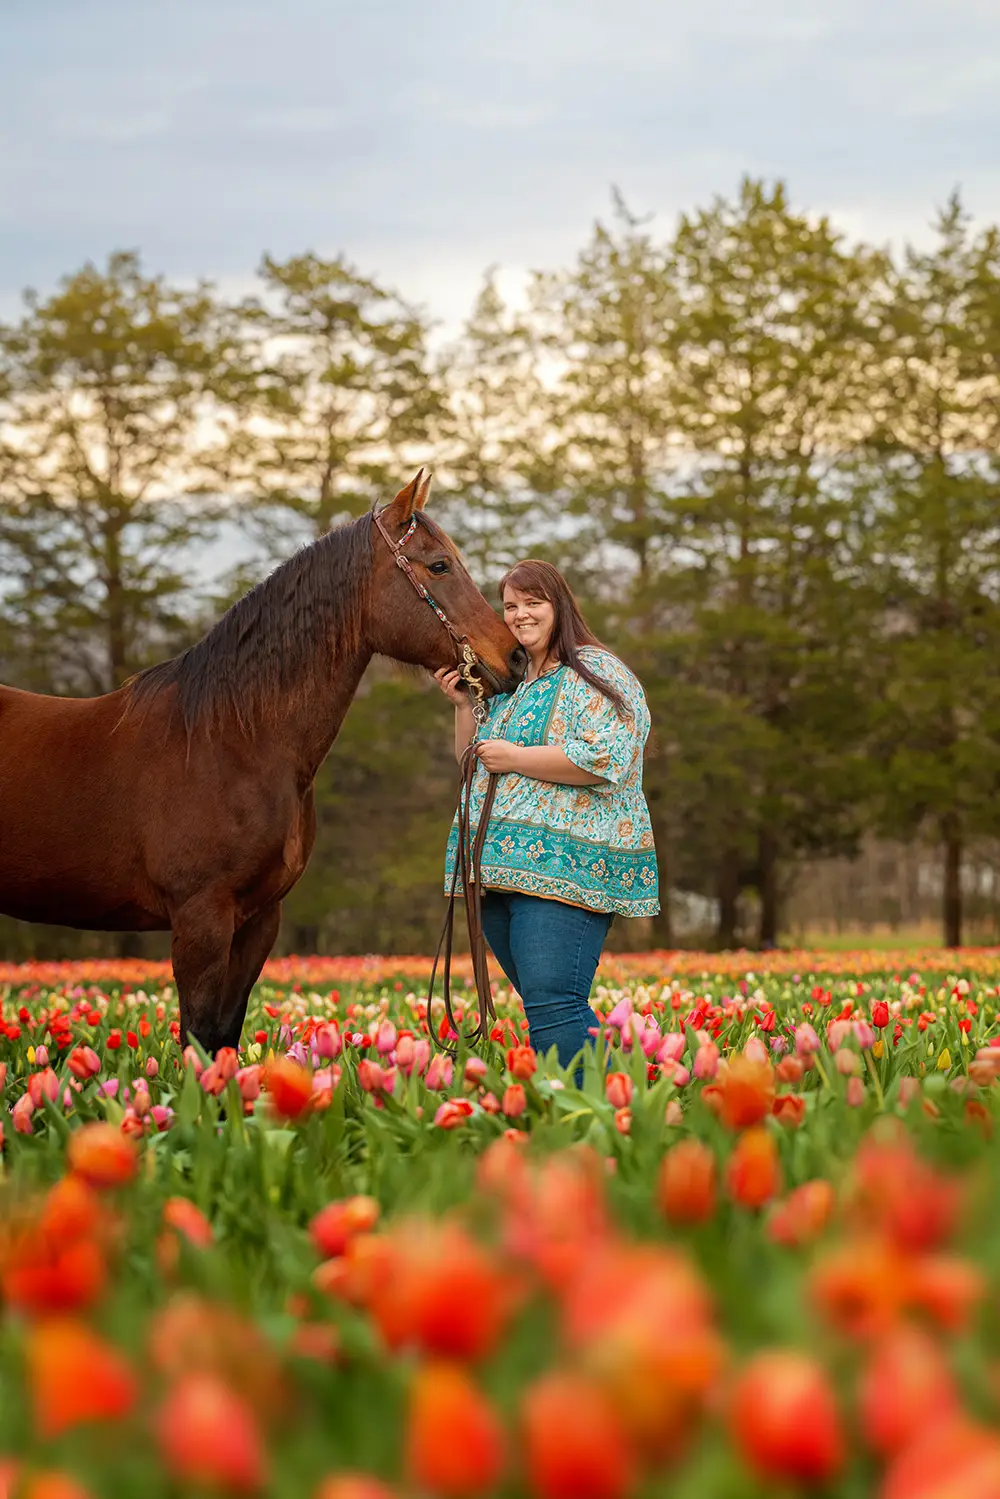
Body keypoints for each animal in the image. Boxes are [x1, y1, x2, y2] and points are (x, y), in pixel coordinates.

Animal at [0, 471, 525, 1054]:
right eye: (438, 565)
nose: (515, 657)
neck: (231, 741)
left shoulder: (259, 920)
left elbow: (225, 1036)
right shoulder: (202, 918)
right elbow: (199, 1039)